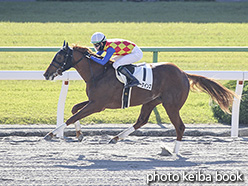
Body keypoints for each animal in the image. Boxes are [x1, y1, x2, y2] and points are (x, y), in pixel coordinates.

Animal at [43, 42, 235, 154]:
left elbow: (72, 116)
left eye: (59, 56)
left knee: (180, 127)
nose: (46, 74)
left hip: (171, 105)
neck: (98, 73)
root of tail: (183, 74)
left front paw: (51, 134)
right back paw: (116, 138)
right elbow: (74, 109)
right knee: (141, 120)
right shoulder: (94, 102)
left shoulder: (98, 105)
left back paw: (174, 151)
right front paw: (79, 134)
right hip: (151, 101)